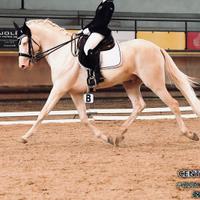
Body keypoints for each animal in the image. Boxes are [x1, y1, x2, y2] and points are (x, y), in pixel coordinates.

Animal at [16, 19, 200, 145]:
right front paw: (106, 138)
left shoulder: (59, 89)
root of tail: (156, 47)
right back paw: (119, 135)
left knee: (173, 104)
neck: (63, 53)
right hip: (131, 83)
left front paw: (25, 137)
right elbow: (84, 119)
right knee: (139, 105)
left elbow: (43, 112)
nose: (22, 65)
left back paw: (189, 134)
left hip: (154, 83)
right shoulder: (75, 92)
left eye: (25, 42)